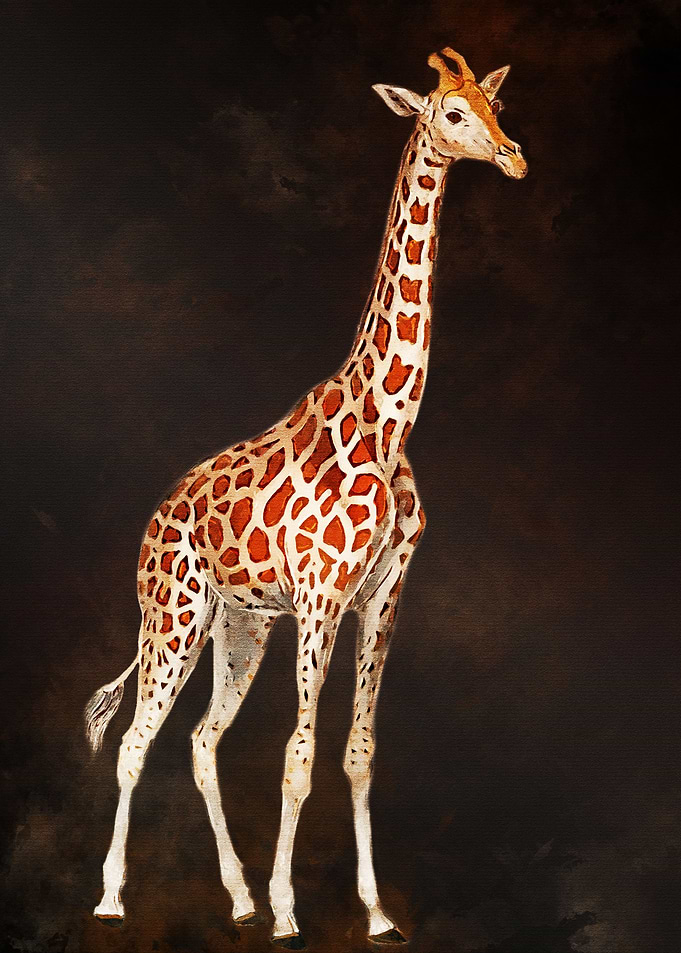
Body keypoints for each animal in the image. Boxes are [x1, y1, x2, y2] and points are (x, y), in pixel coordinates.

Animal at [85, 48, 526, 948]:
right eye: (450, 113)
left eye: (494, 107)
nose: (512, 158)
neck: (387, 422)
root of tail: (152, 523)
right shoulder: (321, 596)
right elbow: (298, 758)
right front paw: (291, 911)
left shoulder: (383, 593)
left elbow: (356, 752)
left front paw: (375, 911)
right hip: (172, 616)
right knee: (134, 739)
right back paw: (113, 897)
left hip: (238, 624)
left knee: (201, 739)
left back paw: (238, 897)